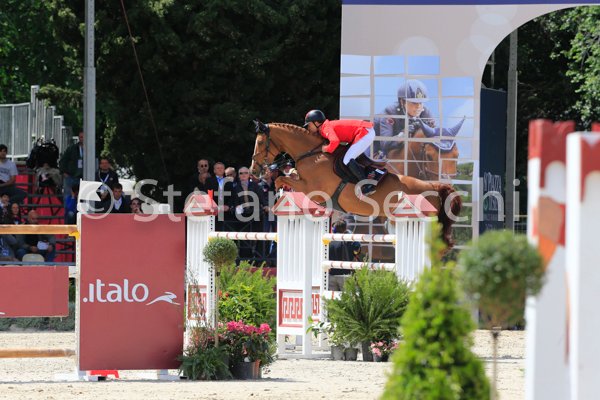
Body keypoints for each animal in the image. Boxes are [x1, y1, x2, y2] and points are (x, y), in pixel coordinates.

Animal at [250, 123, 462, 247]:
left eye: (260, 142)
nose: (253, 171)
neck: (312, 155)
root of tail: (433, 187)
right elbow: (287, 177)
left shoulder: (312, 190)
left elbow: (283, 179)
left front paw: (279, 190)